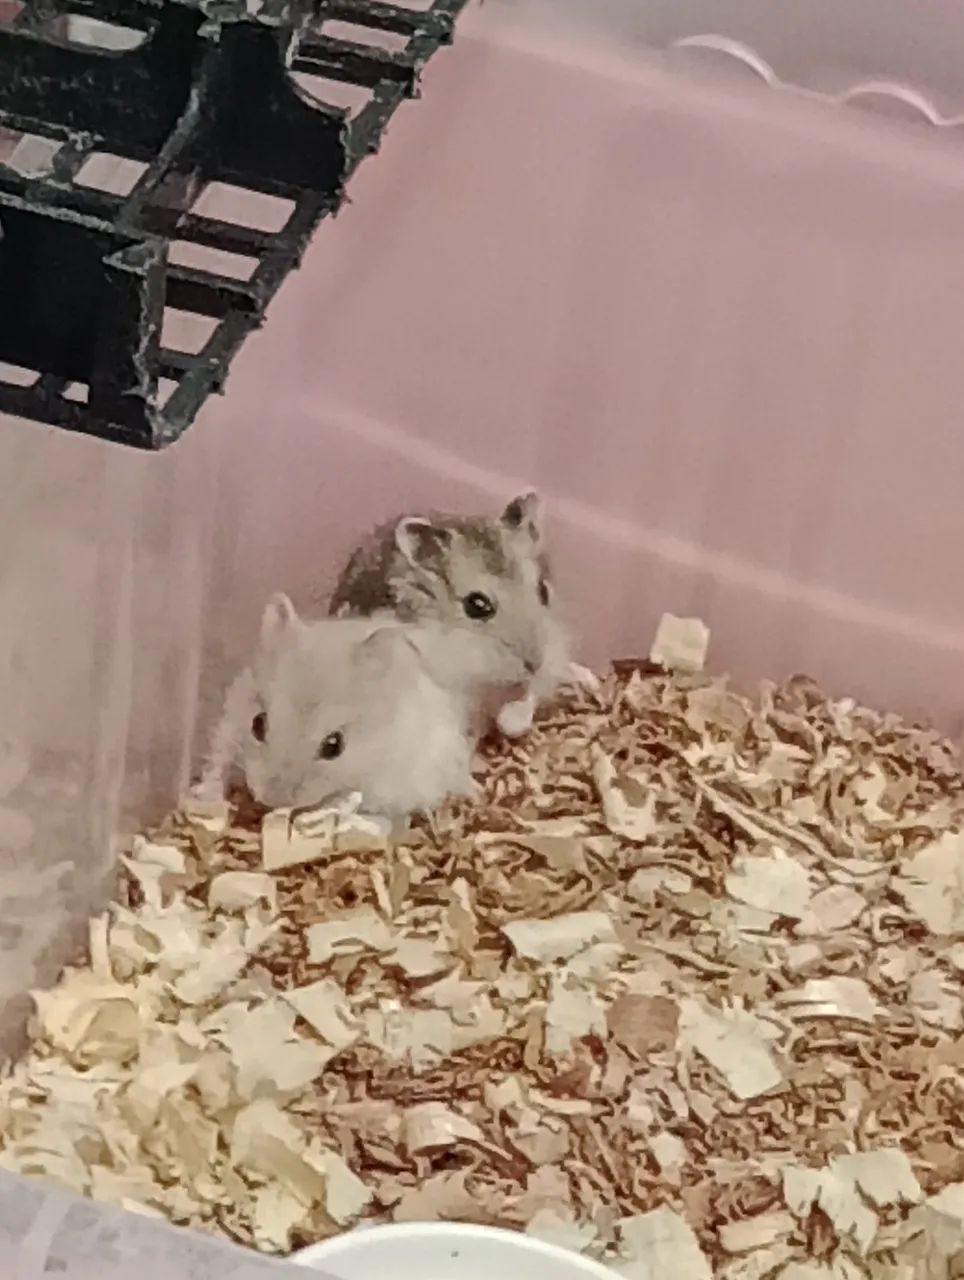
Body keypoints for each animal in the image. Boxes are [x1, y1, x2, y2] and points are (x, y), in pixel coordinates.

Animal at [199, 593, 525, 816]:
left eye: (334, 746)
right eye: (257, 724)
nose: (271, 800)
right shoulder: (229, 718)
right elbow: (219, 759)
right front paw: (205, 795)